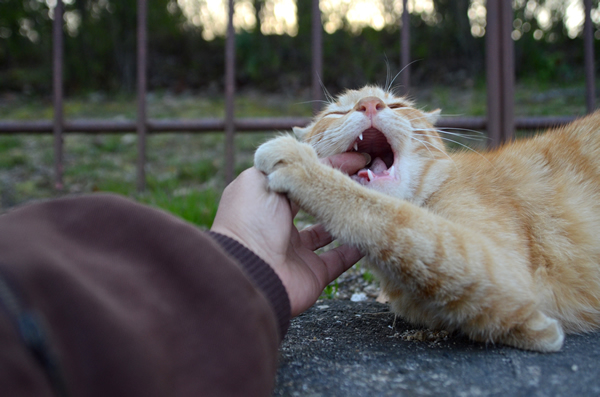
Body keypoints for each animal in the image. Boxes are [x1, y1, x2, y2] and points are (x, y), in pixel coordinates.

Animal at [255, 85, 600, 352]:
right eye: (336, 113)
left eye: (397, 105)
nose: (370, 104)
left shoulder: (501, 269)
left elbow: (389, 217)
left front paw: (300, 165)